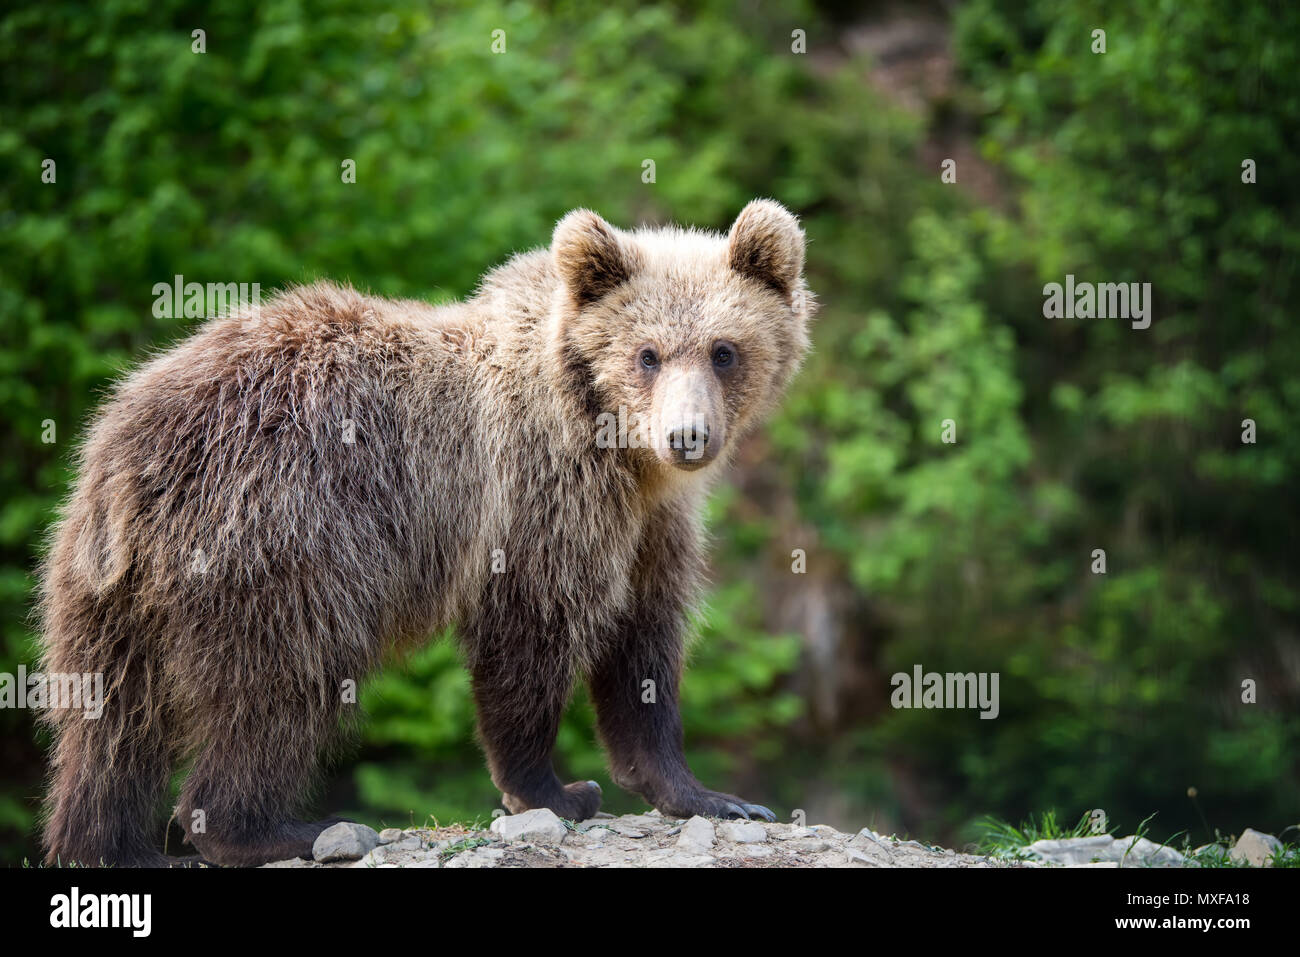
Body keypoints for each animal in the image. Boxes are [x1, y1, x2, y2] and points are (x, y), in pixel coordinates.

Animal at [37, 198, 815, 867]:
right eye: (647, 353)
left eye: (723, 350)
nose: (688, 436)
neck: (620, 452)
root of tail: (130, 453)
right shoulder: (539, 495)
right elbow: (532, 632)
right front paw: (556, 788)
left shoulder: (652, 526)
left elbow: (643, 645)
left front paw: (708, 794)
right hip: (280, 531)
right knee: (283, 677)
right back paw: (276, 828)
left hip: (102, 581)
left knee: (108, 720)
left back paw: (110, 843)